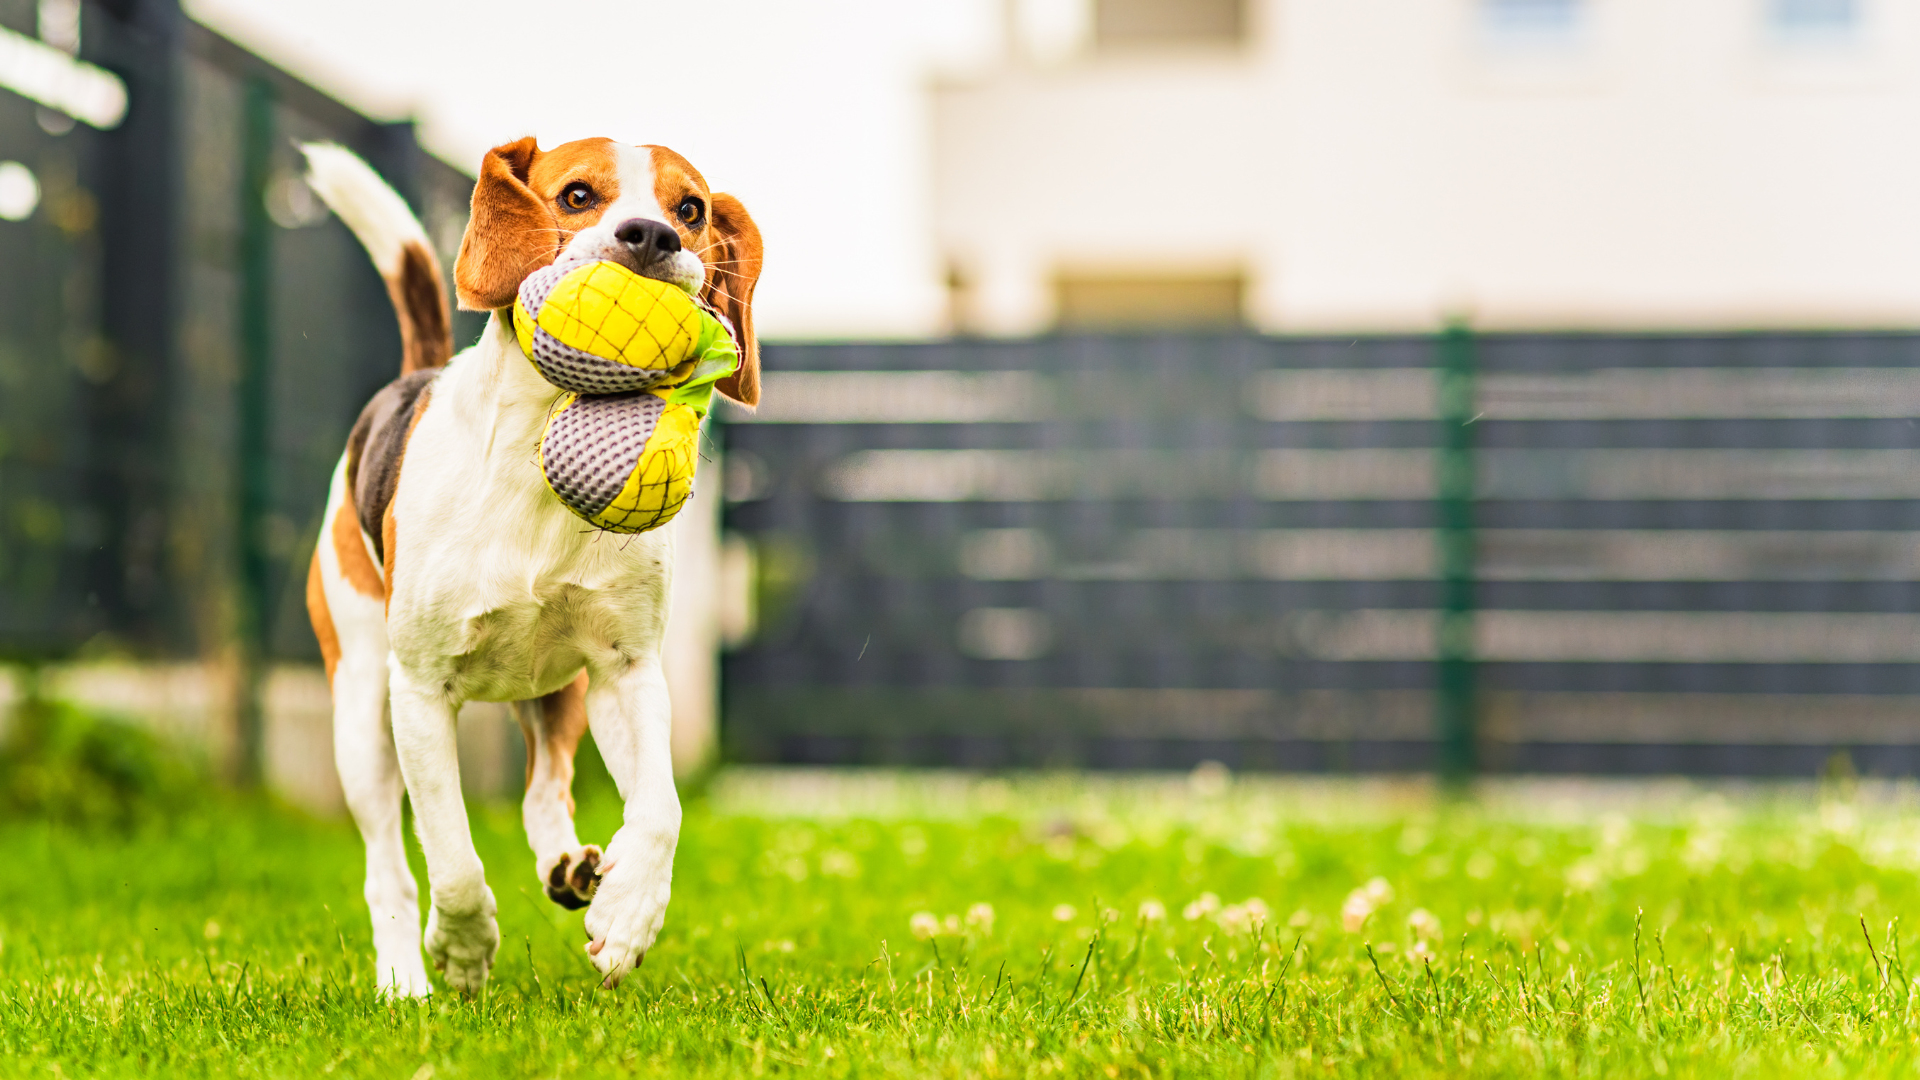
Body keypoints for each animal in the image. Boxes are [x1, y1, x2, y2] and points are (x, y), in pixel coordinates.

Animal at [303, 138, 760, 999]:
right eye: (577, 195)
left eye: (692, 210)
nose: (653, 236)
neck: (539, 449)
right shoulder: (420, 691)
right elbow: (451, 859)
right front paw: (462, 948)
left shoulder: (627, 670)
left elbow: (662, 810)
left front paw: (628, 914)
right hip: (360, 706)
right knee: (389, 863)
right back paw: (403, 979)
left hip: (559, 689)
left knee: (543, 785)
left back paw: (572, 868)